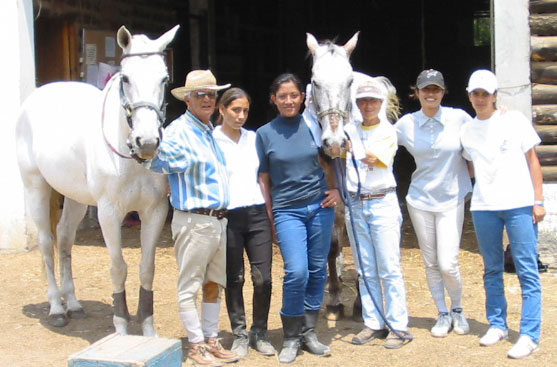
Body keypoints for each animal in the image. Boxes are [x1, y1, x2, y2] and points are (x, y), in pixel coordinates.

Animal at [15, 24, 178, 338]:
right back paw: (57, 308)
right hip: (35, 186)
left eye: (164, 78)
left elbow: (146, 267)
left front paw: (148, 330)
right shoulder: (109, 212)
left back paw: (73, 304)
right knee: (46, 242)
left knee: (65, 238)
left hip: (76, 198)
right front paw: (122, 327)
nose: (147, 142)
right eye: (125, 78)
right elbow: (118, 267)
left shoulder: (154, 211)